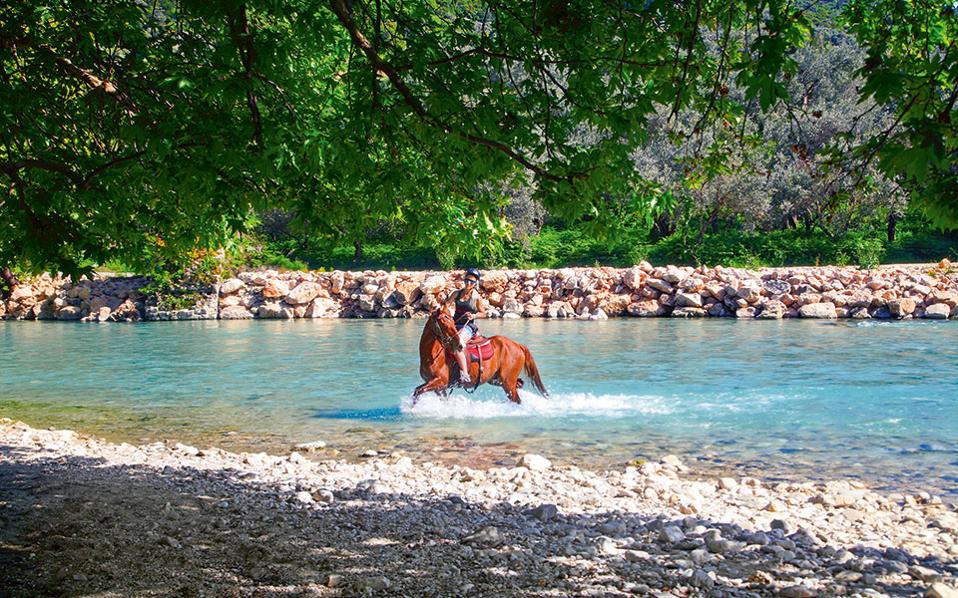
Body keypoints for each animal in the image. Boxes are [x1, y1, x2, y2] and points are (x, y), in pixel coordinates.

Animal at [416, 310, 552, 408]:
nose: (459, 345)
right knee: (519, 385)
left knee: (516, 399)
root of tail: (518, 345)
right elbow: (420, 392)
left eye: (452, 323)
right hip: (497, 380)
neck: (432, 357)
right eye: (443, 323)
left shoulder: (441, 382)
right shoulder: (437, 387)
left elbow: (417, 392)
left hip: (507, 381)